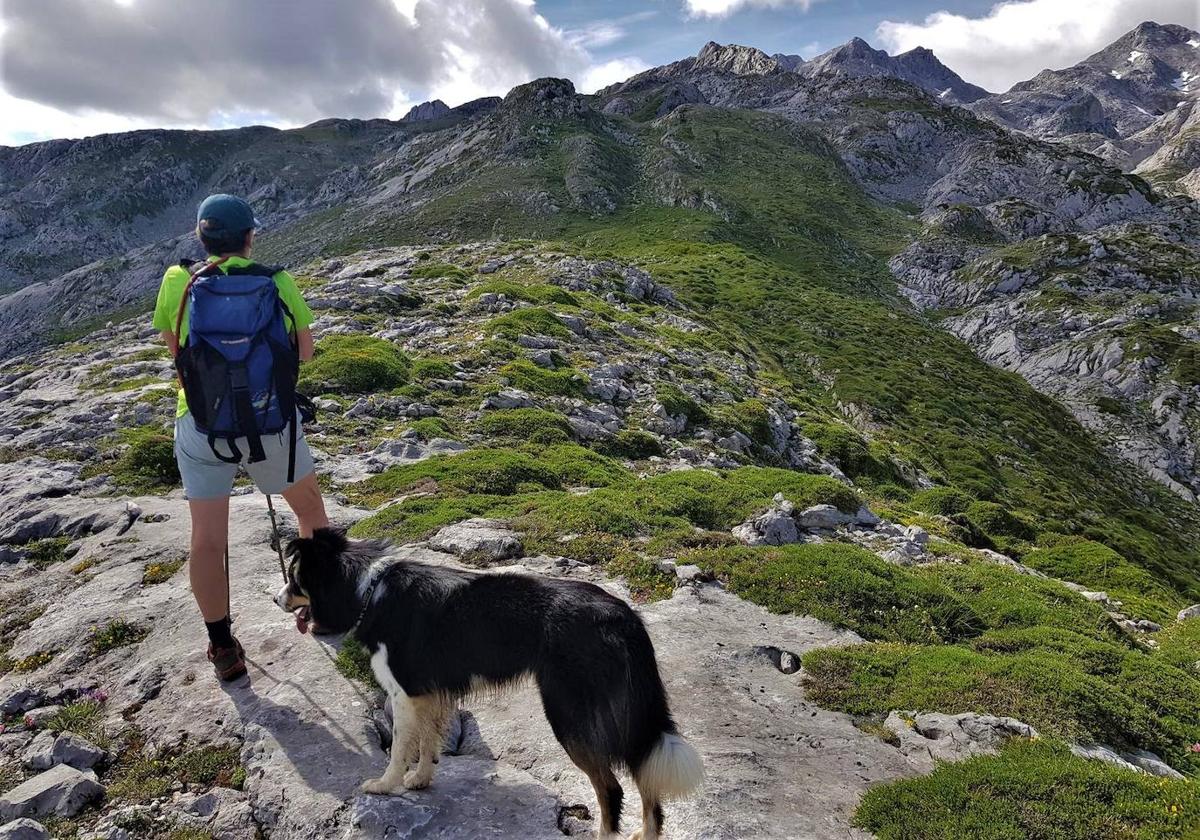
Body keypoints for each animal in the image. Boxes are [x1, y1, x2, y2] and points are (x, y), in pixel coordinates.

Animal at [274, 528, 700, 835]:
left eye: (295, 580)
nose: (276, 600)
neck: (367, 590)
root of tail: (623, 614)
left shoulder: (405, 693)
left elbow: (398, 748)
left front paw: (383, 786)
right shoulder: (430, 693)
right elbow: (428, 742)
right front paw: (421, 781)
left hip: (570, 714)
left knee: (612, 788)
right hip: (626, 714)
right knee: (646, 781)